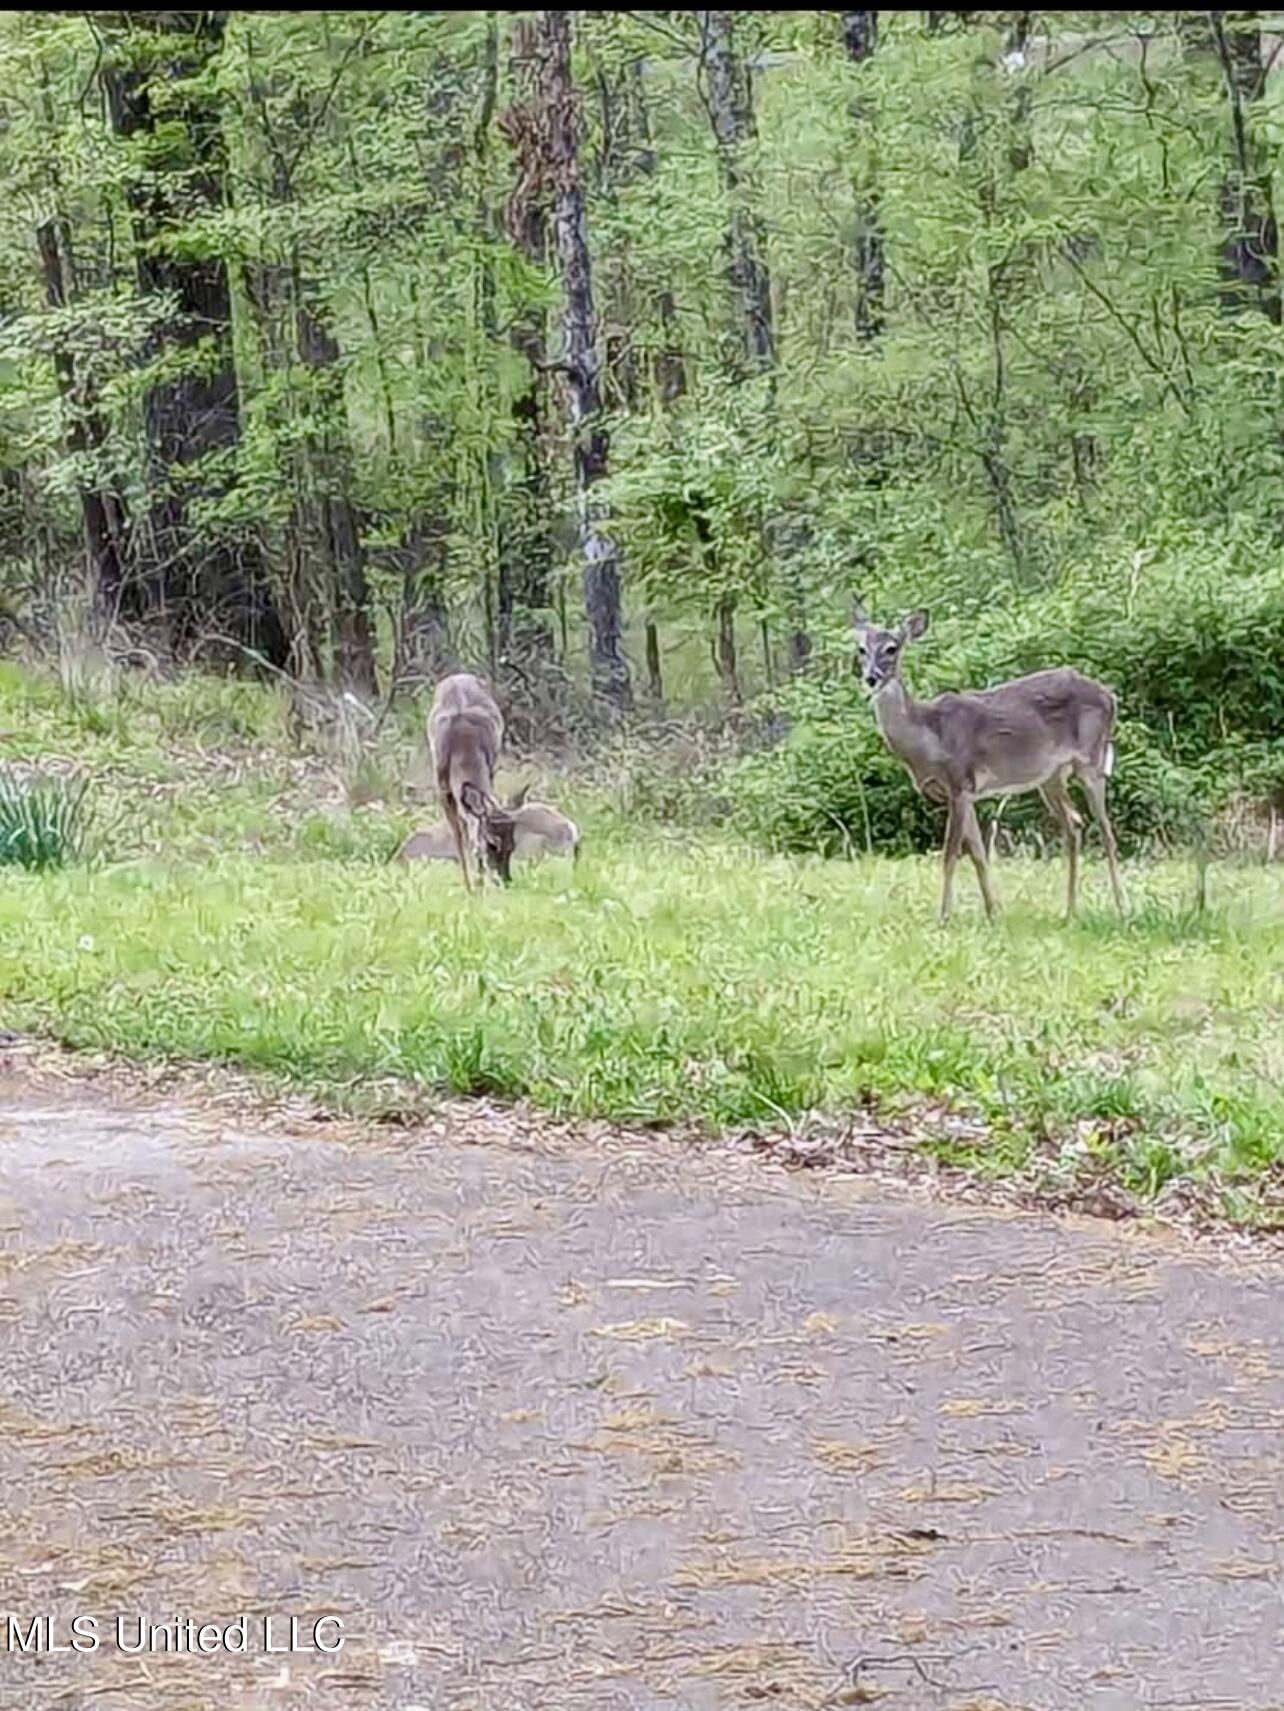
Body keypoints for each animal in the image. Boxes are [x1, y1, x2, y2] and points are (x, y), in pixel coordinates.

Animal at [428, 670, 517, 889]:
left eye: (513, 845)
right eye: (493, 844)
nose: (506, 880)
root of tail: (458, 675)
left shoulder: (489, 768)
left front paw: (480, 880)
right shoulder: (442, 786)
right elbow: (459, 835)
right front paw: (470, 886)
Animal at [859, 605, 1129, 923]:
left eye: (892, 648)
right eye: (861, 648)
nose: (871, 677)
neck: (928, 736)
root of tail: (1110, 697)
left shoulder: (960, 782)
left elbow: (950, 854)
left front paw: (943, 917)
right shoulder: (965, 793)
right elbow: (978, 853)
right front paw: (993, 912)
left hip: (1091, 760)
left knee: (1107, 832)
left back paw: (1123, 908)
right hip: (1050, 777)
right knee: (1074, 825)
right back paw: (1069, 911)